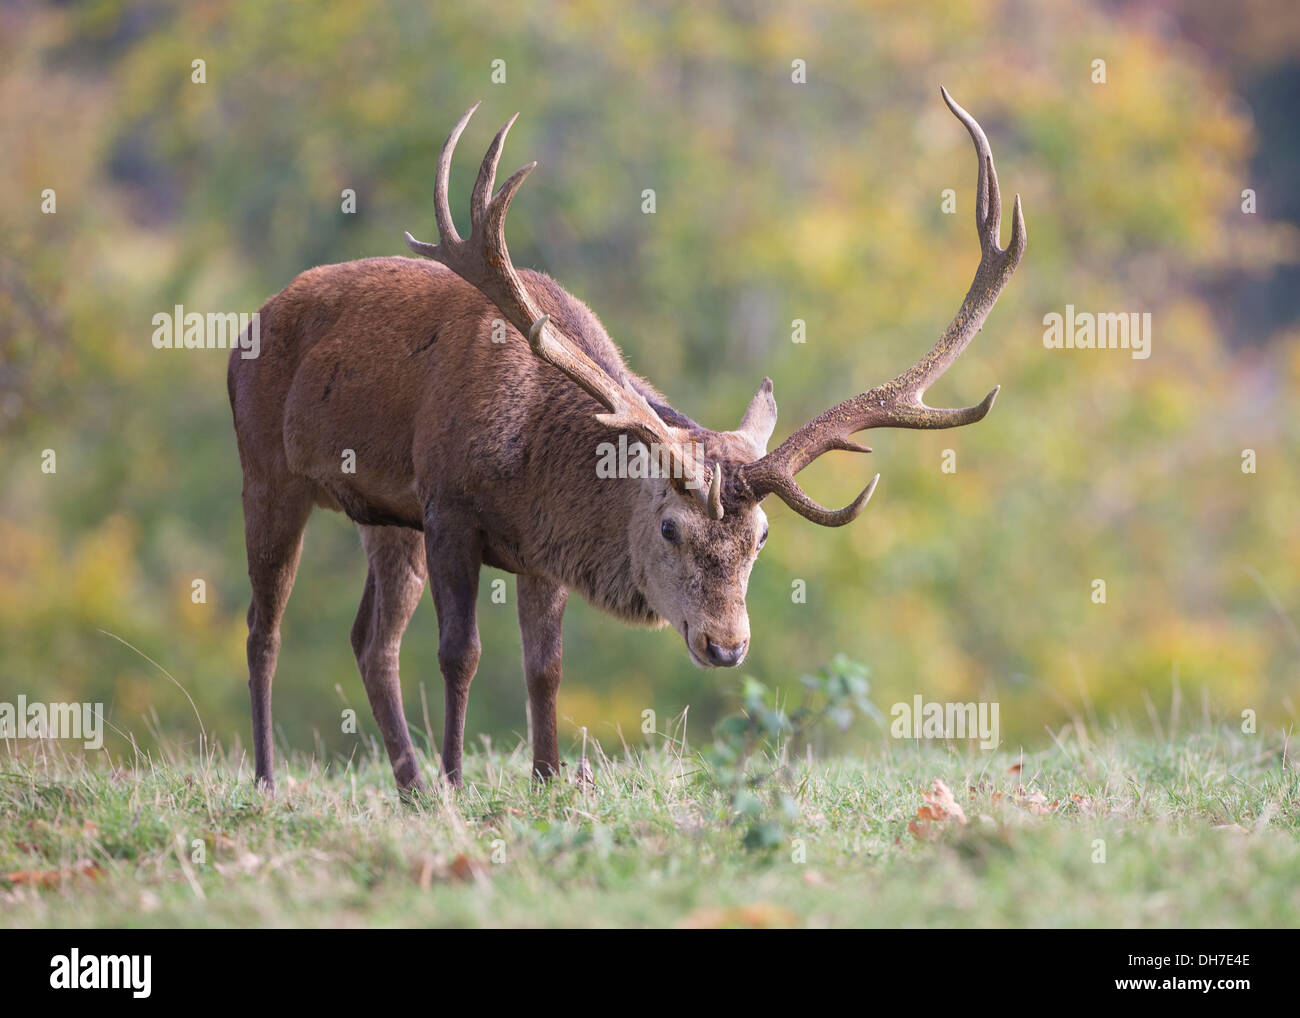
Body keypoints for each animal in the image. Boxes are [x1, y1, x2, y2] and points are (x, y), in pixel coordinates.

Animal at [227, 88, 1025, 793]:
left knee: (371, 640)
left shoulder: (536, 550)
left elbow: (544, 668)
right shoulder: (447, 505)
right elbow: (461, 653)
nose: (726, 645)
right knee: (264, 626)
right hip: (267, 471)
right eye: (669, 527)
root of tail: (249, 324)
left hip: (384, 519)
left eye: (763, 537)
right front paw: (458, 783)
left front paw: (545, 780)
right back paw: (273, 778)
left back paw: (409, 787)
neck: (529, 448)